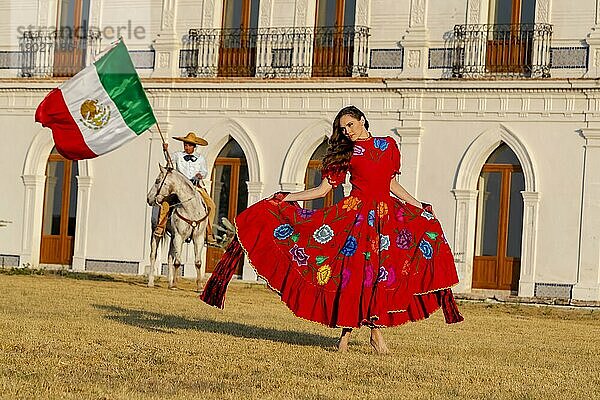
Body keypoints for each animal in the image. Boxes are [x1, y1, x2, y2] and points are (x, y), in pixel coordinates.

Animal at [146, 164, 210, 292]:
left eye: (157, 181)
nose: (148, 198)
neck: (191, 209)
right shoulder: (179, 236)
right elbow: (178, 261)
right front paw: (175, 284)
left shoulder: (198, 237)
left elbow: (198, 262)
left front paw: (199, 286)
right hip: (155, 231)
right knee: (153, 255)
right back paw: (151, 282)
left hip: (173, 237)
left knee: (170, 257)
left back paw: (170, 283)